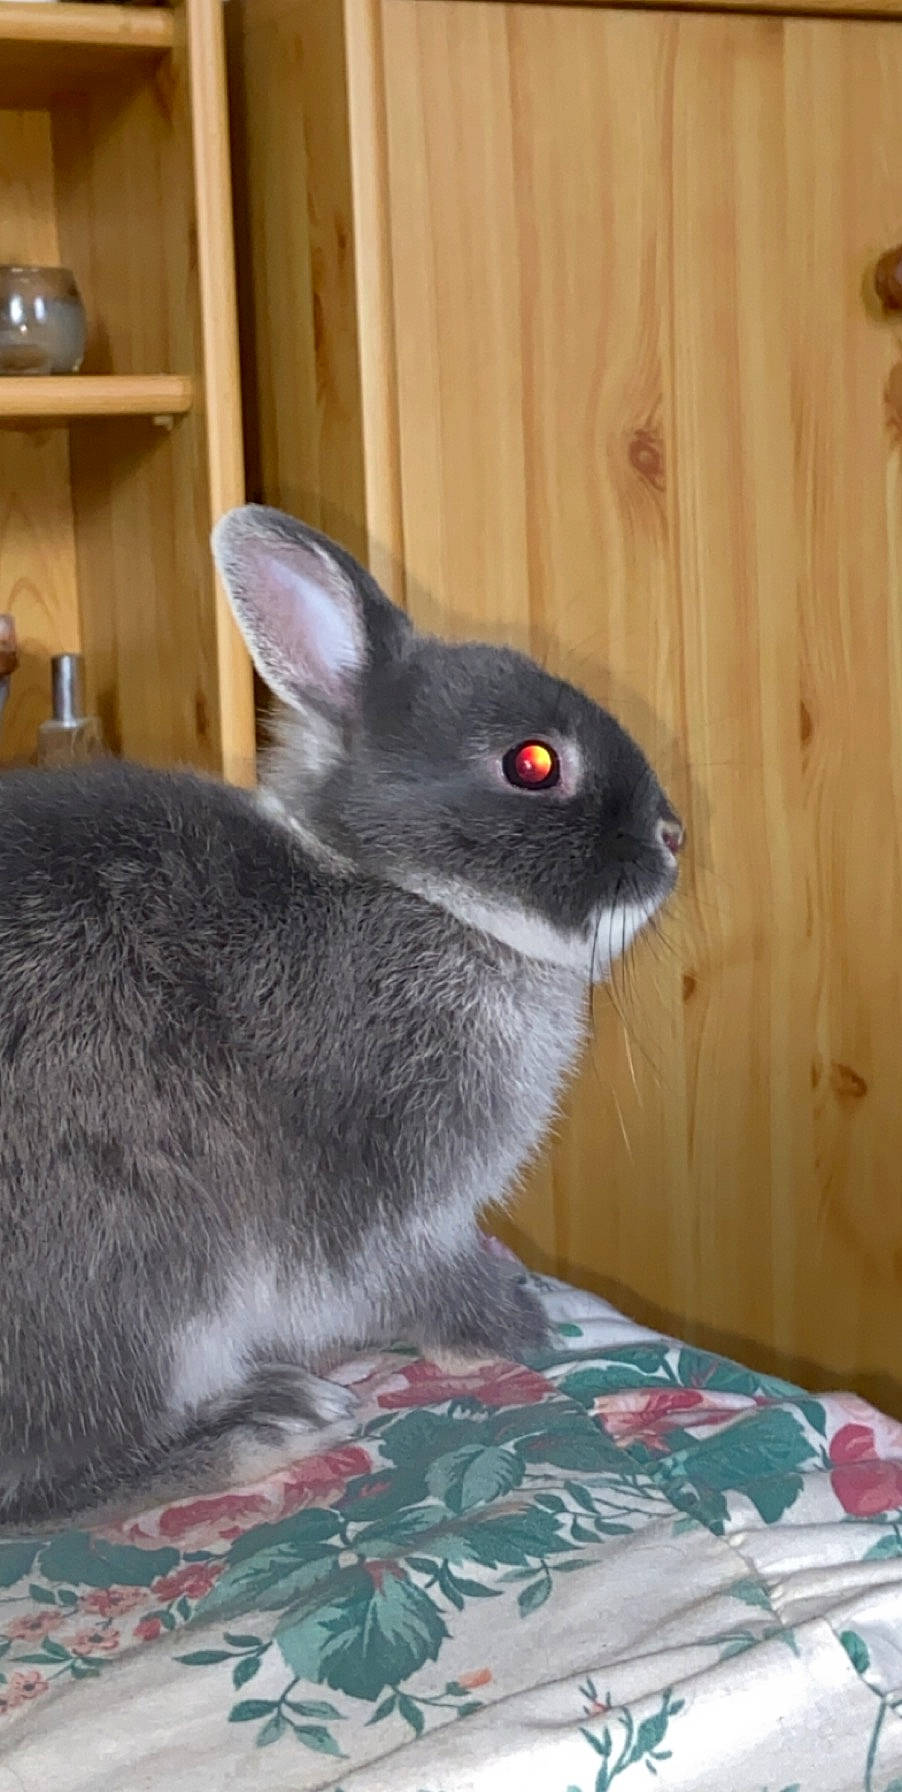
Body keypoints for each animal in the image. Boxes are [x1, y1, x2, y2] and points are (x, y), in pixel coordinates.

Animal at [0, 505, 683, 1524]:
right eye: (533, 763)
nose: (674, 837)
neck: (413, 892)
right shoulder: (395, 1200)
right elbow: (421, 1279)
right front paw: (515, 1328)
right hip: (139, 1277)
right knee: (46, 1488)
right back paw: (265, 1425)